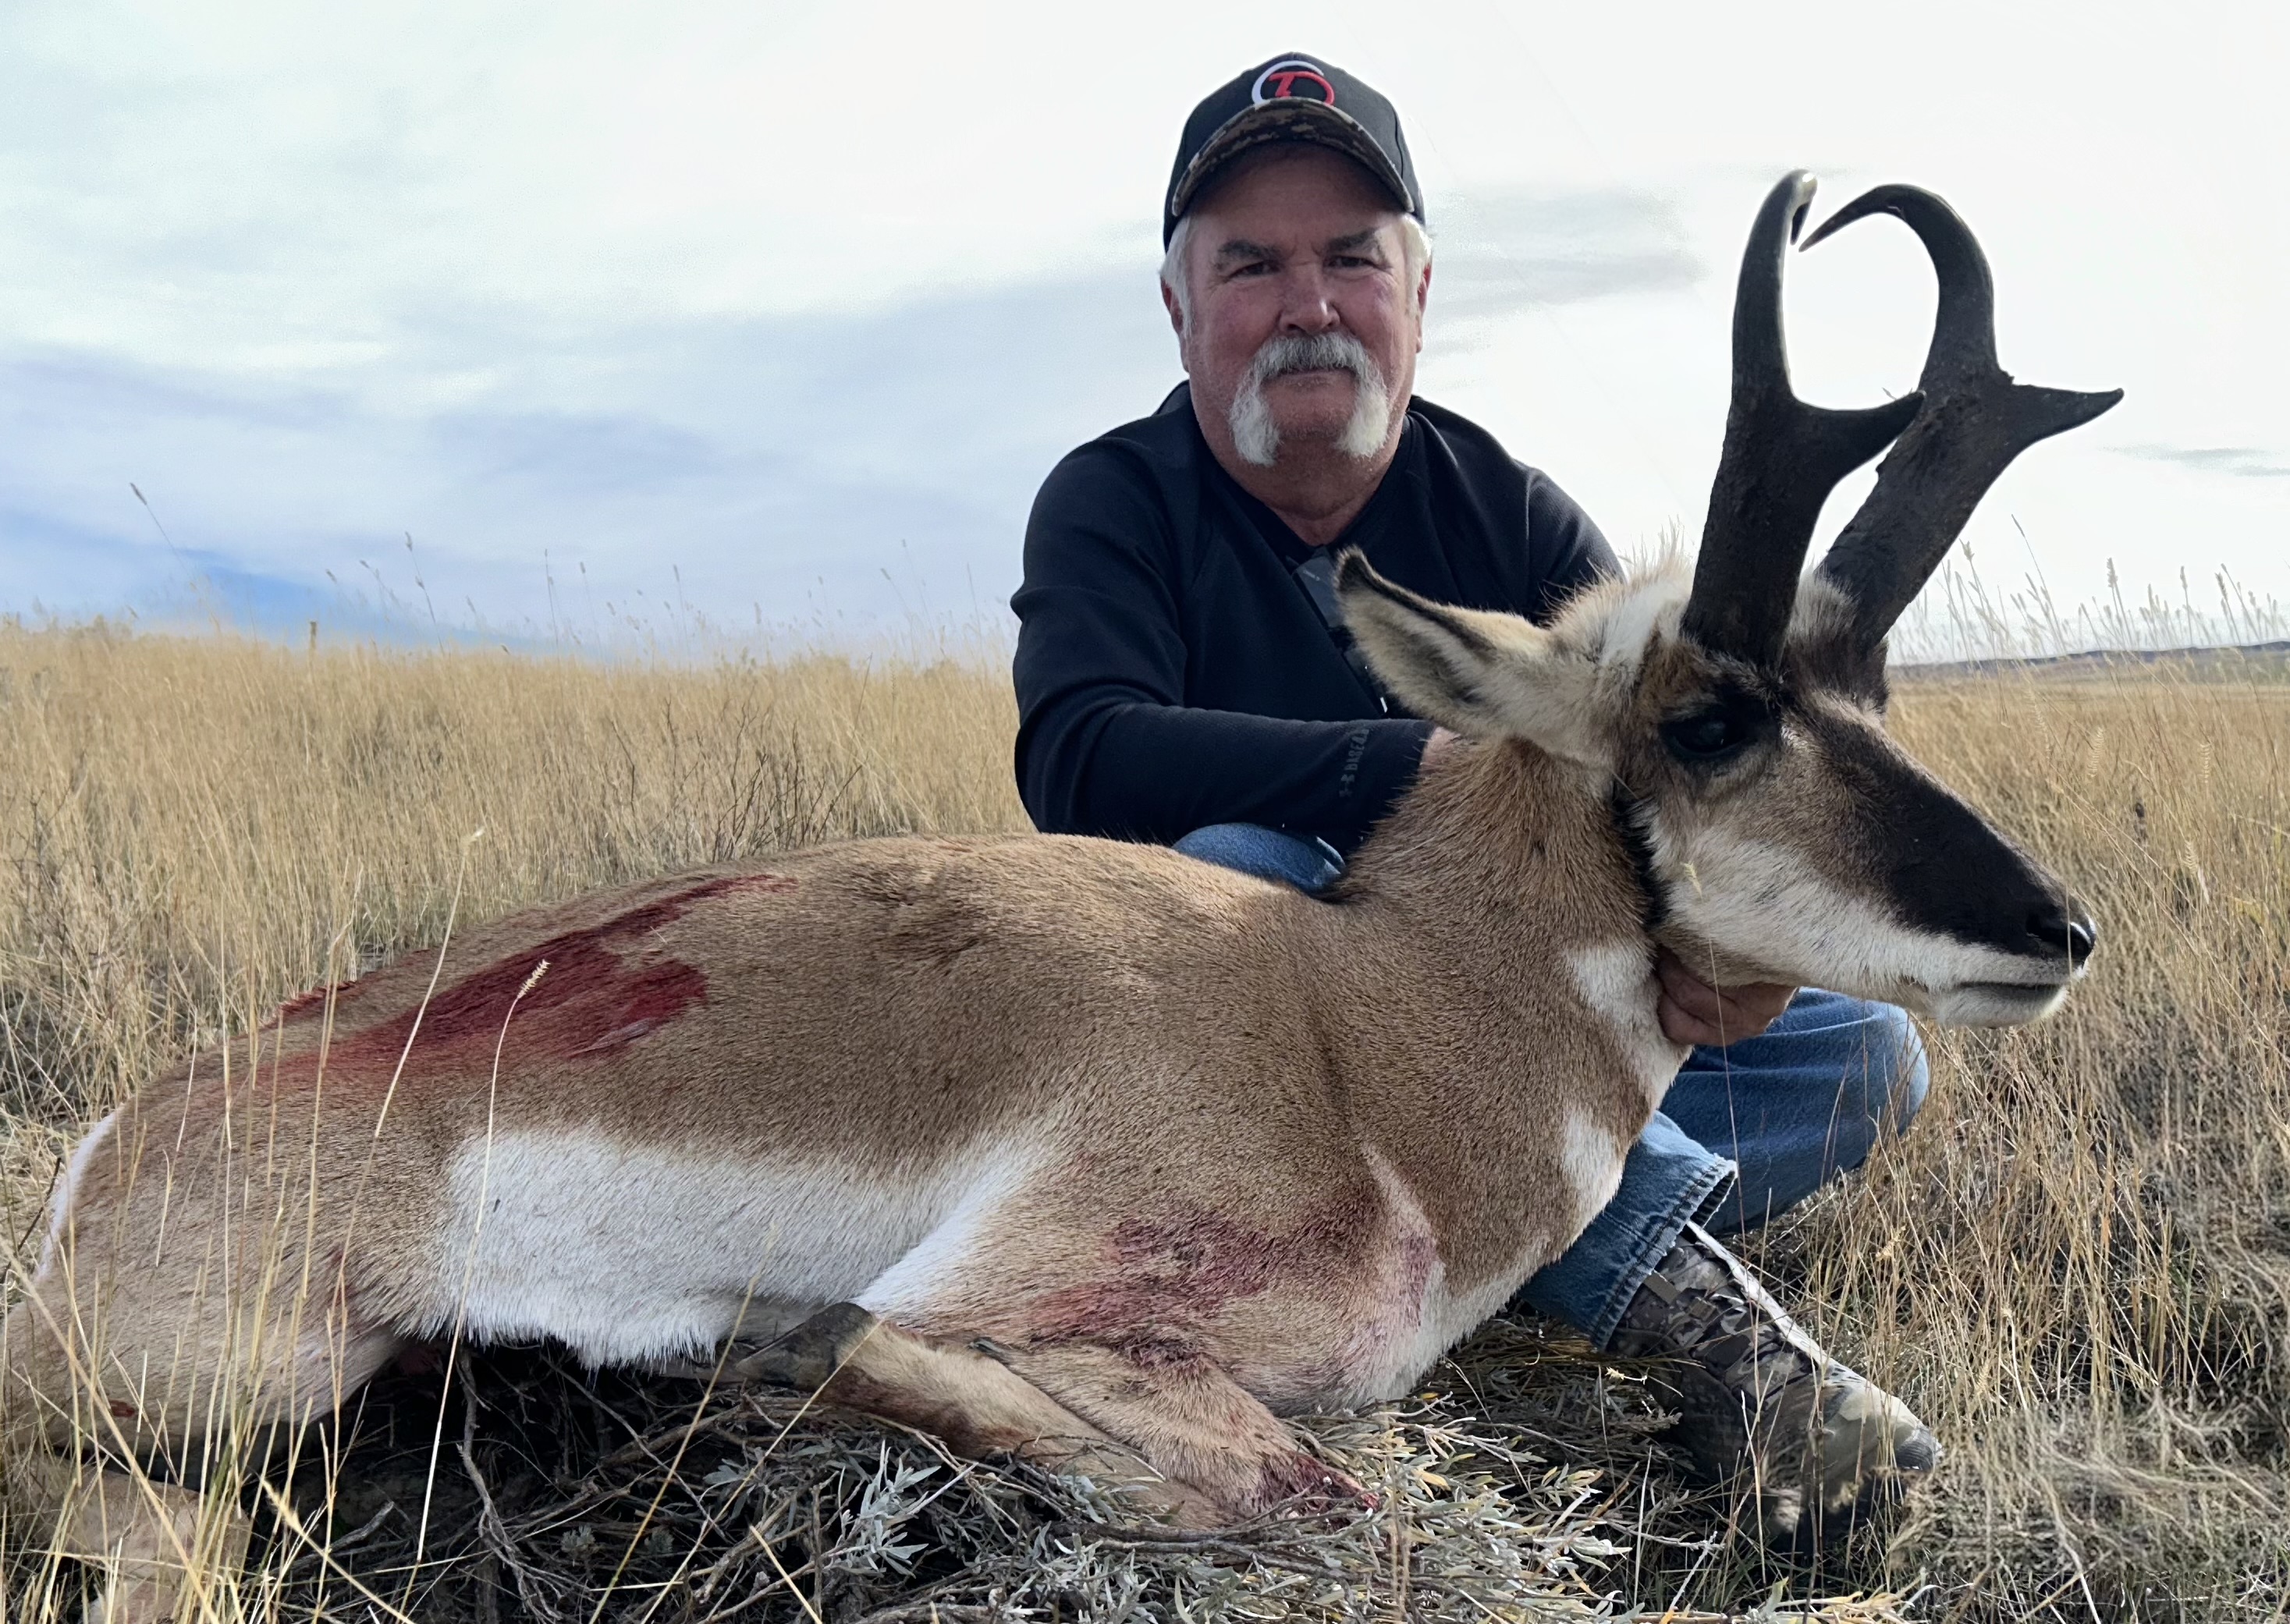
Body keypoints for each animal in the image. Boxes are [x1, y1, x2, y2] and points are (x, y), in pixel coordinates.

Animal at [4, 173, 2114, 1621]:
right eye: (1706, 713)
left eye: (1874, 690)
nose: (2058, 930)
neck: (1363, 1027)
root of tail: (134, 1127)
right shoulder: (1058, 1315)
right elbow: (1299, 1485)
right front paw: (791, 1359)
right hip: (233, 1403)